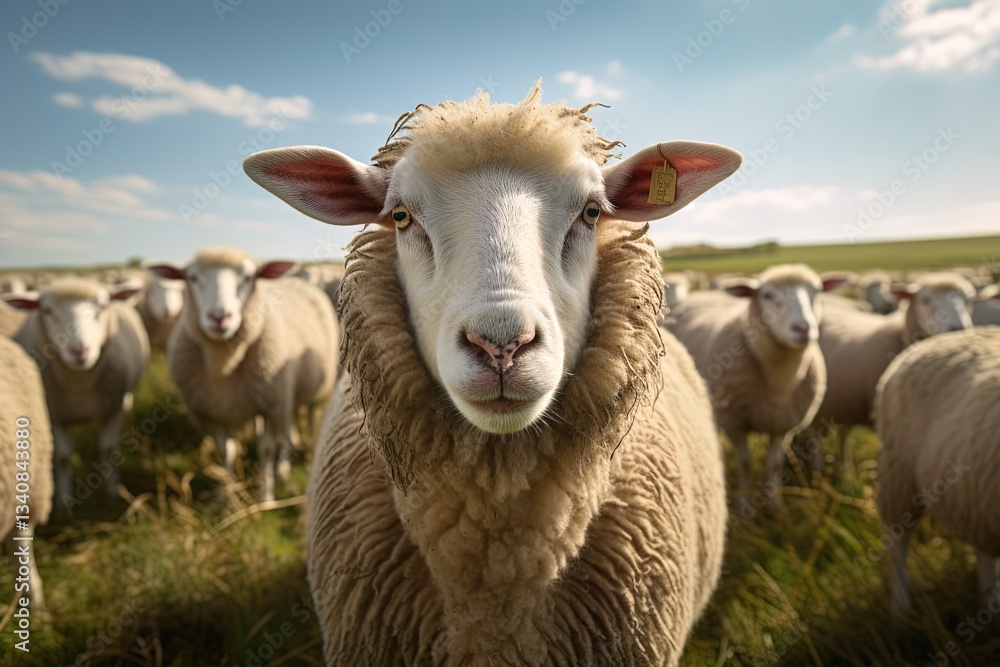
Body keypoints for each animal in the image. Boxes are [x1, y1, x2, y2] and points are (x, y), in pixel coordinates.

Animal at [4, 279, 149, 509]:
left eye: (103, 306)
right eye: (47, 310)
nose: (79, 351)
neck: (79, 384)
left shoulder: (119, 406)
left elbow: (107, 448)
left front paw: (112, 492)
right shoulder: (53, 413)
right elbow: (63, 456)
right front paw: (64, 500)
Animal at [148, 247, 338, 503]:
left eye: (248, 277)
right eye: (193, 277)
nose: (219, 317)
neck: (223, 365)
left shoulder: (271, 405)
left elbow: (266, 449)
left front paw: (266, 498)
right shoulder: (209, 414)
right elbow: (226, 450)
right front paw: (226, 495)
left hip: (301, 391)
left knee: (293, 425)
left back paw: (284, 467)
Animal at [666, 265, 844, 510]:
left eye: (816, 291)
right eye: (767, 295)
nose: (802, 329)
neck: (779, 385)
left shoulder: (782, 426)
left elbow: (773, 464)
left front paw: (776, 506)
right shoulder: (734, 423)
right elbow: (745, 462)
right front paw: (744, 506)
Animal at [795, 272, 975, 476]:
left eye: (969, 299)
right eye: (925, 299)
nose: (958, 328)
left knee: (842, 433)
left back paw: (845, 468)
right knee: (813, 439)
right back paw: (817, 474)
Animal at [875, 327, 1000, 617]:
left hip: (976, 493)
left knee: (984, 549)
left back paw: (990, 600)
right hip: (899, 476)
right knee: (897, 542)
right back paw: (901, 610)